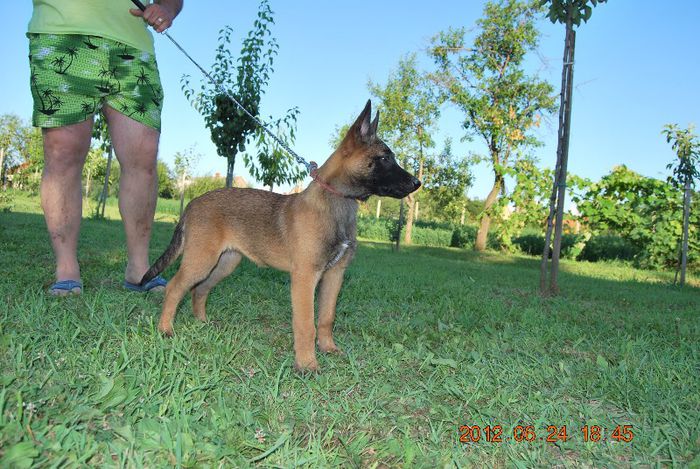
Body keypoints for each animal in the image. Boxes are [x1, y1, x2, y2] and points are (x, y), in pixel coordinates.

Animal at [139, 100, 418, 372]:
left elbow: (326, 318)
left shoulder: (334, 275)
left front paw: (328, 349)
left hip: (224, 264)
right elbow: (306, 325)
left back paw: (202, 323)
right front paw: (307, 365)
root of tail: (192, 203)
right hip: (201, 261)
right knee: (175, 288)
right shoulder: (305, 278)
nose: (417, 183)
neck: (334, 202)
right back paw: (165, 330)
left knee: (199, 290)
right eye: (384, 158)